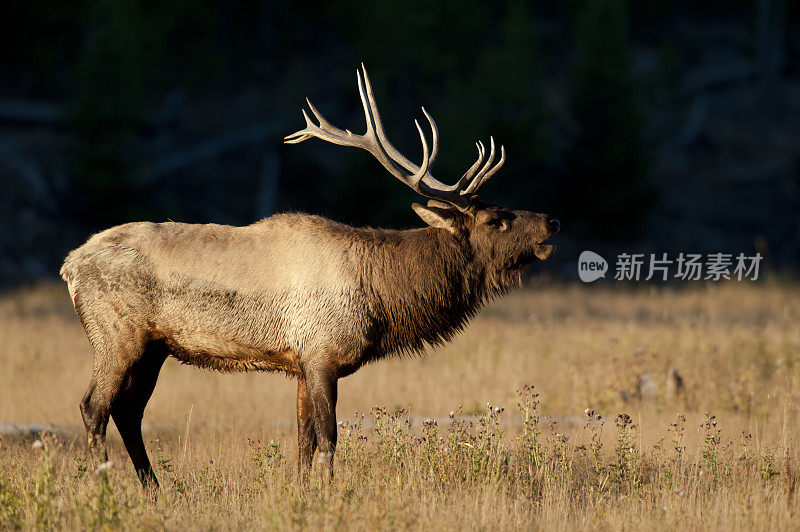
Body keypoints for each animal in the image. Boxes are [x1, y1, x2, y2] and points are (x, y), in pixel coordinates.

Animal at [61, 64, 556, 488]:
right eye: (496, 220)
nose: (551, 220)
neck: (381, 297)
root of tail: (70, 263)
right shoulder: (322, 354)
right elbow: (328, 440)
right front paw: (329, 495)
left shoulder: (300, 363)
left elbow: (301, 442)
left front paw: (300, 494)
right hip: (117, 336)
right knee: (93, 407)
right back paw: (105, 486)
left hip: (155, 348)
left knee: (128, 412)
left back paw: (155, 490)